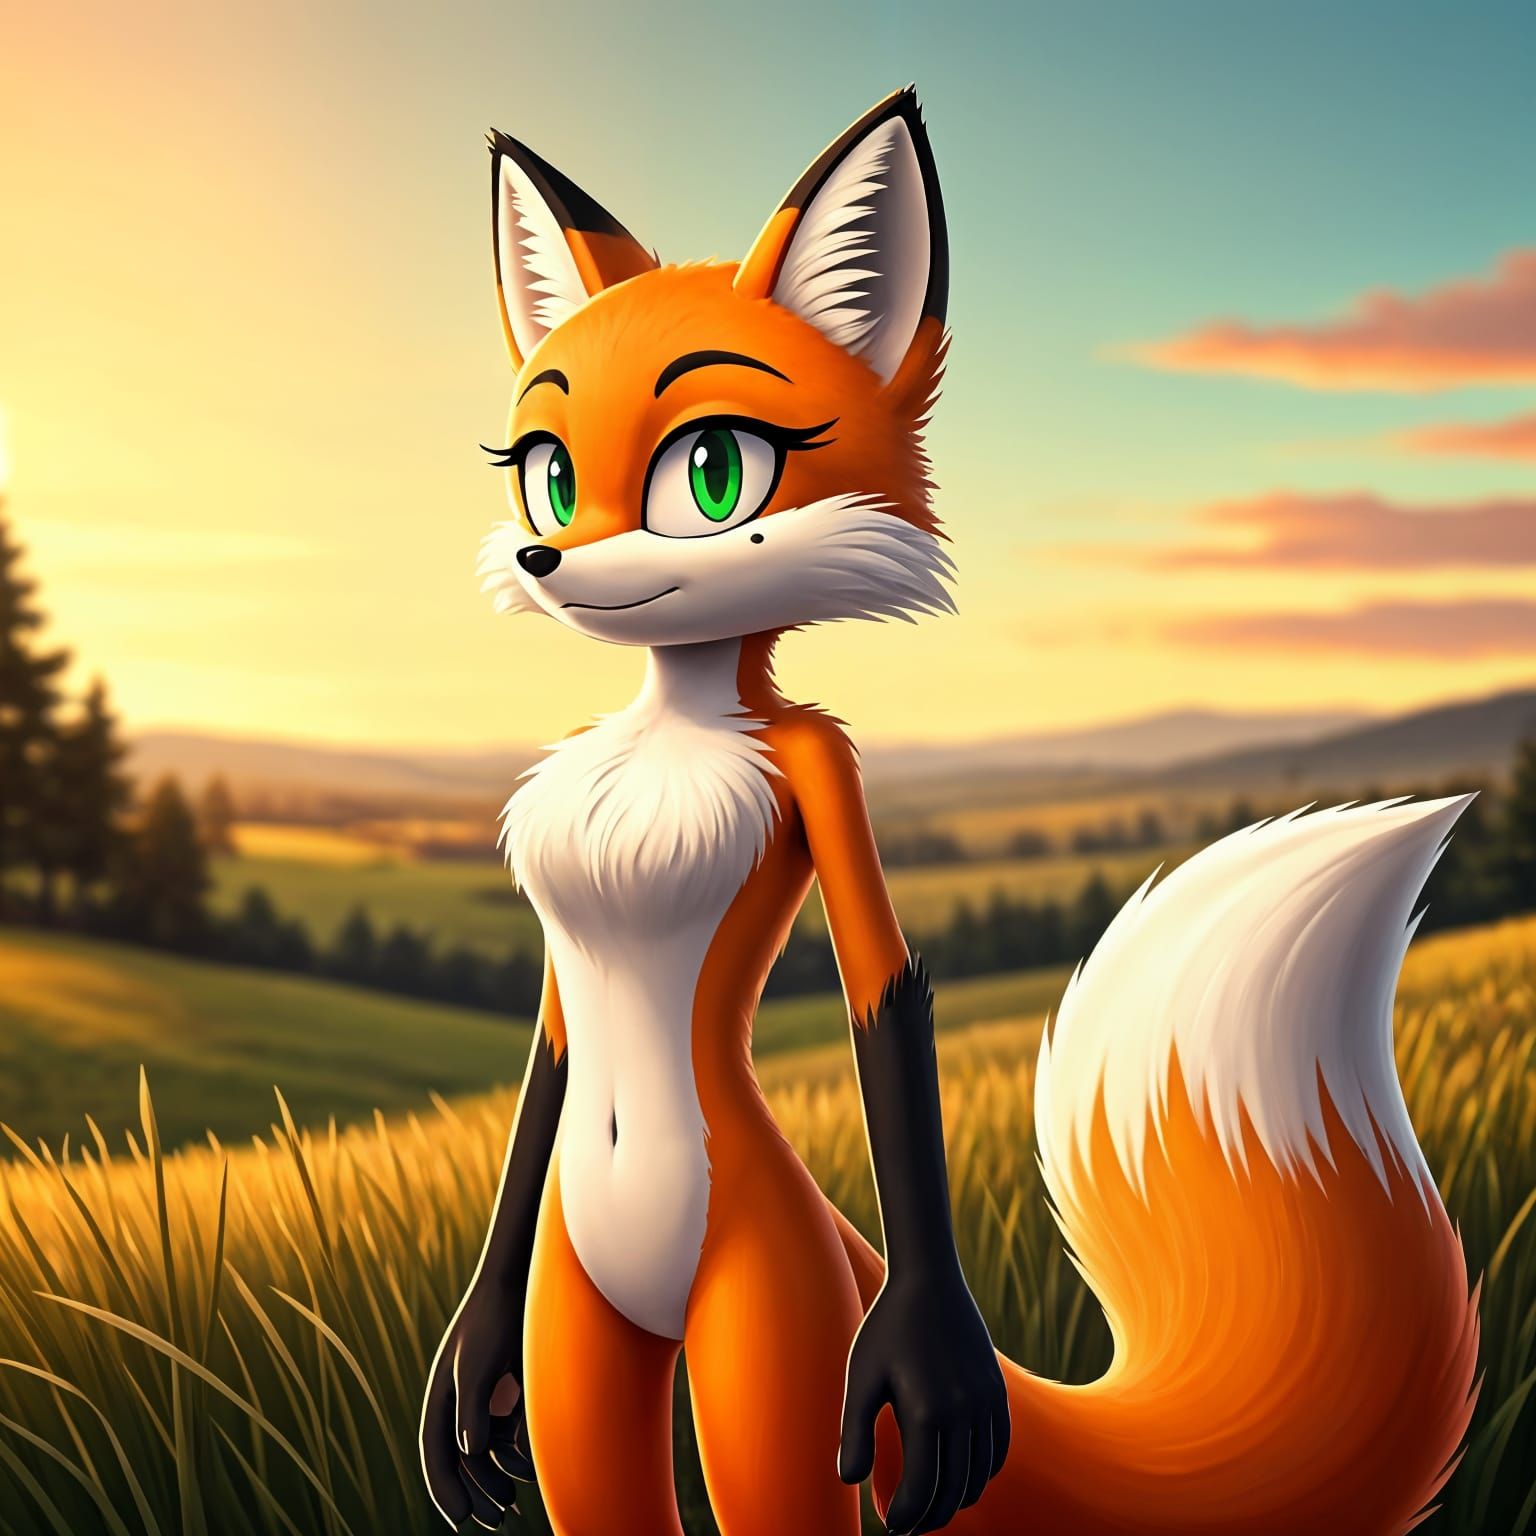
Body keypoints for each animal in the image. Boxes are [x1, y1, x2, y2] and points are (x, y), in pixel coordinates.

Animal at [420, 89, 1479, 1536]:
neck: (680, 711)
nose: (545, 555)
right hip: (584, 1327)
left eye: (714, 474)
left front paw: (934, 1365)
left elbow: (885, 992)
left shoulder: (822, 770)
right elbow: (554, 1043)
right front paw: (465, 1363)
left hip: (772, 1317)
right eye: (547, 472)